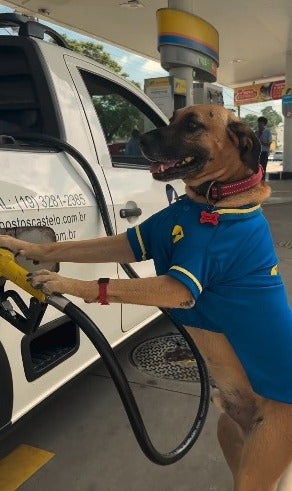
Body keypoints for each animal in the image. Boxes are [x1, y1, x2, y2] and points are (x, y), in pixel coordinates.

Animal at [1, 105, 290, 490]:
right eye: (174, 117)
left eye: (193, 124)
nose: (139, 141)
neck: (215, 199)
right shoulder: (132, 241)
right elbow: (66, 246)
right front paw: (16, 244)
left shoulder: (177, 285)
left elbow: (111, 284)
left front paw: (57, 279)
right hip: (230, 435)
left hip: (259, 462)